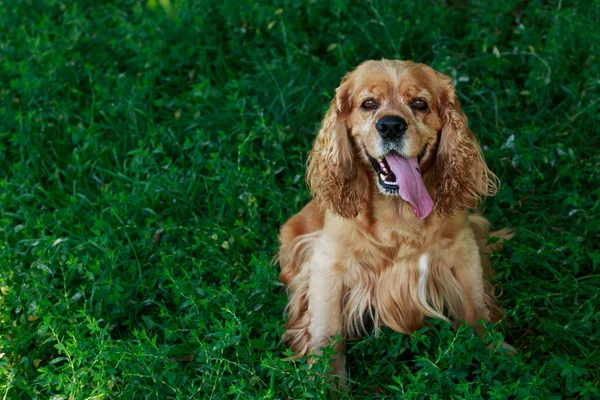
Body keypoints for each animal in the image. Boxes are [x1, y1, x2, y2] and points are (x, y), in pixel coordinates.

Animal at [276, 59, 510, 382]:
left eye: (420, 103)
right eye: (368, 104)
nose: (390, 126)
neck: (398, 211)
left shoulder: (463, 250)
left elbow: (475, 309)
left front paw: (496, 355)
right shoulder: (327, 263)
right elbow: (327, 330)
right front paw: (326, 383)